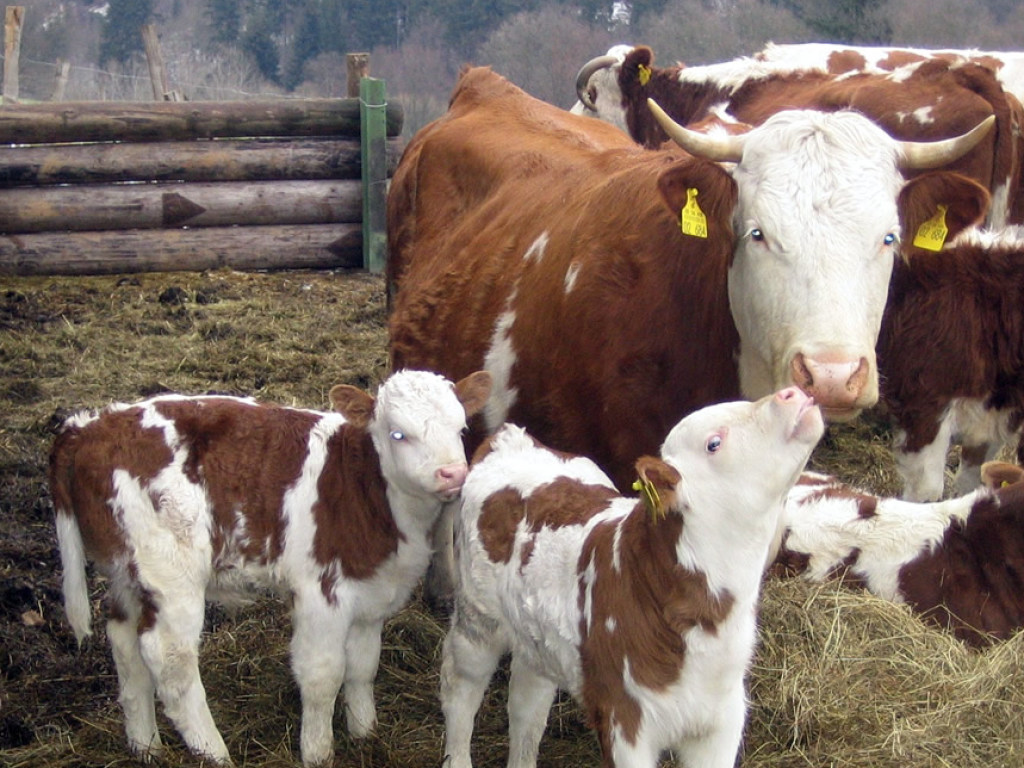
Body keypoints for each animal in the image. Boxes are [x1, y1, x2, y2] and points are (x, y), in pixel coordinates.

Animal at [49, 370, 489, 765]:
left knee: (124, 642)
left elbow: (363, 666)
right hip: (170, 574)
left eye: (461, 427)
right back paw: (214, 753)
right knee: (170, 662)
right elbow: (323, 675)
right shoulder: (321, 592)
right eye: (399, 434)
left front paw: (366, 733)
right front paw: (318, 752)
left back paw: (145, 747)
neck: (367, 485)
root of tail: (89, 427)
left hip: (128, 572)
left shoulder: (370, 588)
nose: (453, 474)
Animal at [442, 387, 823, 768]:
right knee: (461, 687)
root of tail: (511, 439)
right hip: (477, 617)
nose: (790, 392)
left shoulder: (722, 717)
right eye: (714, 443)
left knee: (527, 701)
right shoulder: (623, 718)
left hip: (535, 634)